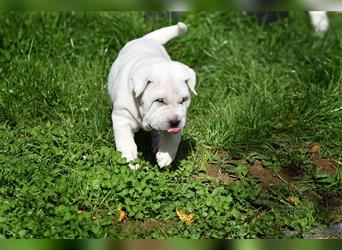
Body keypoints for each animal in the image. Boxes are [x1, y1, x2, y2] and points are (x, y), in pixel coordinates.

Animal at [108, 22, 196, 170]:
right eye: (159, 100)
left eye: (183, 100)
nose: (175, 122)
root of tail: (147, 39)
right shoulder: (122, 116)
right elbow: (125, 141)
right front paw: (130, 160)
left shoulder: (179, 119)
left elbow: (173, 139)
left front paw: (165, 155)